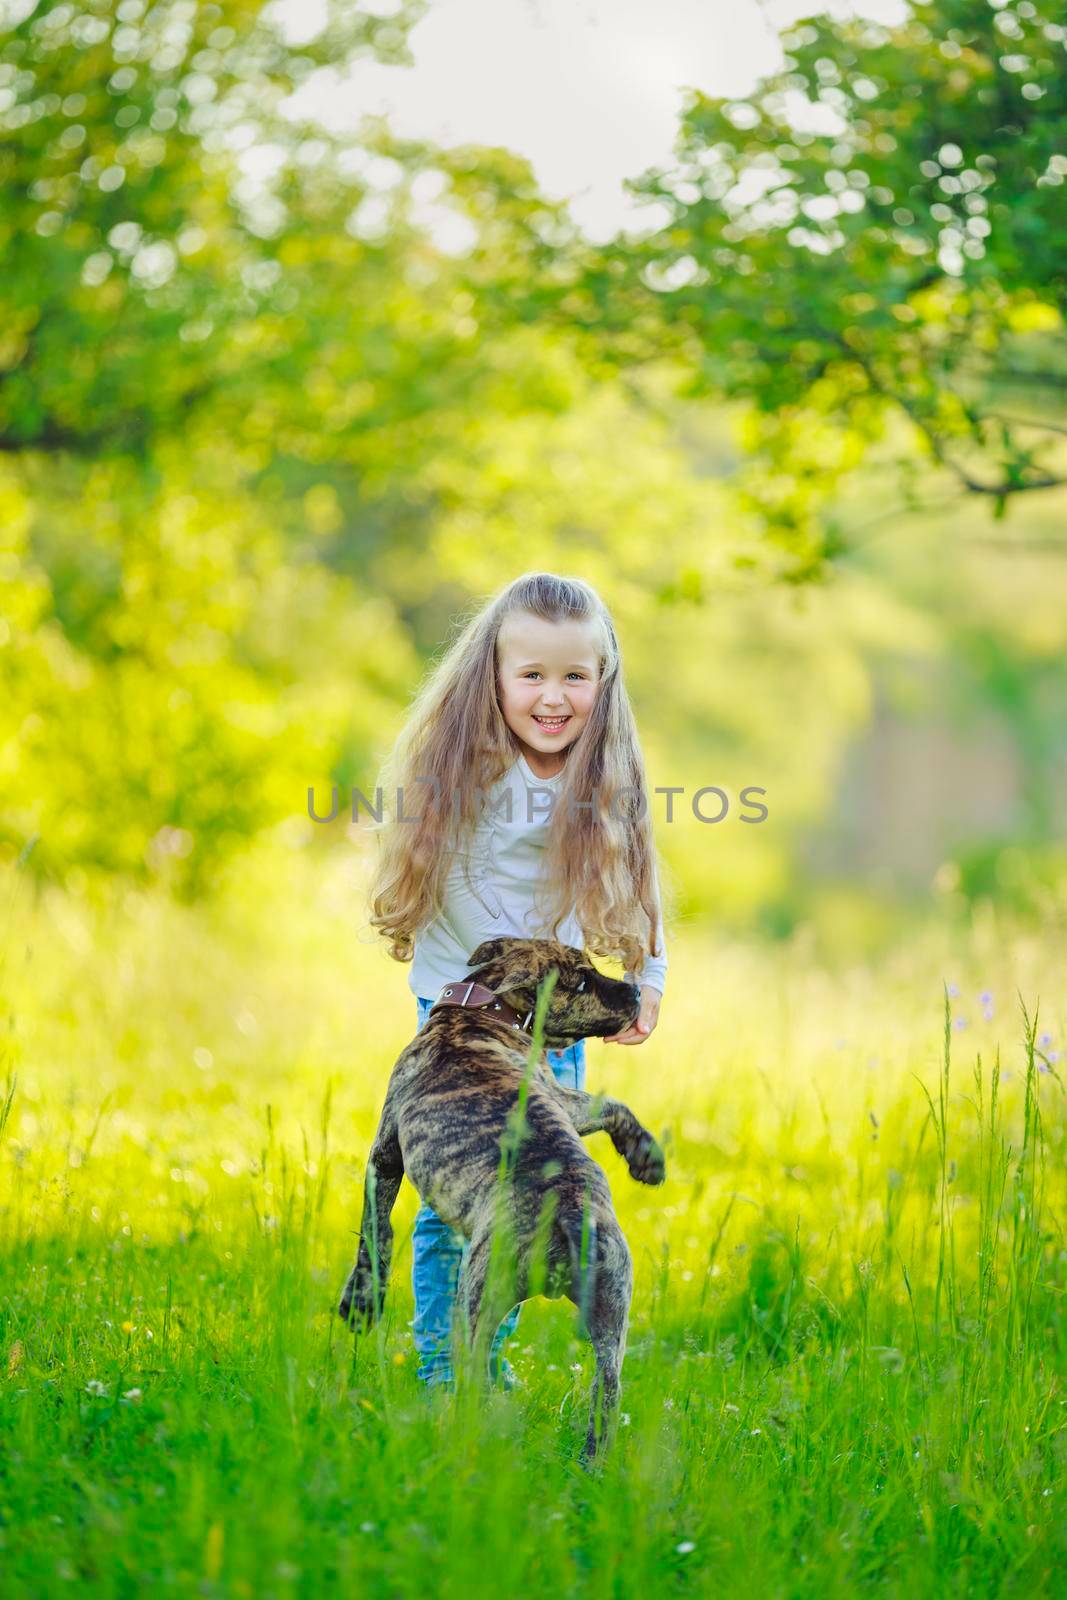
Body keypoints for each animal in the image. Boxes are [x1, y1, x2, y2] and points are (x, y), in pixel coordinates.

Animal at [337, 934, 662, 1459]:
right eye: (581, 981)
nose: (635, 993)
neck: (482, 1009)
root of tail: (568, 1211)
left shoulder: (384, 1154)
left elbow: (375, 1231)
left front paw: (361, 1302)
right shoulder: (561, 1097)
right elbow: (607, 1103)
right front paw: (647, 1157)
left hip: (476, 1298)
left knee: (473, 1377)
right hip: (613, 1312)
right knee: (606, 1395)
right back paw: (590, 1464)